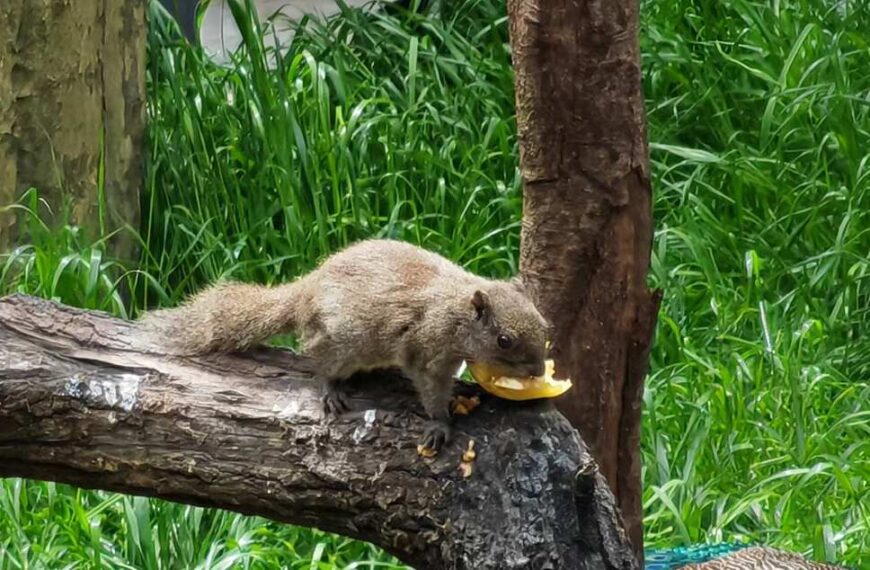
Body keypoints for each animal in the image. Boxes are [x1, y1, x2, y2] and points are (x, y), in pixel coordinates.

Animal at [142, 237, 552, 450]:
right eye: (504, 340)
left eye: (544, 325)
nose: (536, 371)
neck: (456, 311)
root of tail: (305, 292)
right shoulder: (426, 349)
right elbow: (430, 389)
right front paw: (440, 424)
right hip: (341, 343)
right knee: (317, 360)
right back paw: (330, 388)